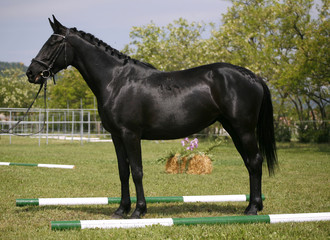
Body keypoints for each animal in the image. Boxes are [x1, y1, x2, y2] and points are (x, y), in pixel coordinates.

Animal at [27, 15, 278, 218]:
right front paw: (121, 209)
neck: (116, 80)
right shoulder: (116, 137)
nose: (32, 73)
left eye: (53, 43)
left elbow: (137, 172)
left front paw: (139, 210)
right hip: (233, 129)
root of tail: (252, 76)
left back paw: (253, 208)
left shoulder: (130, 135)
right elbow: (123, 172)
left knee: (255, 161)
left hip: (244, 130)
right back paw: (253, 206)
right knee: (250, 163)